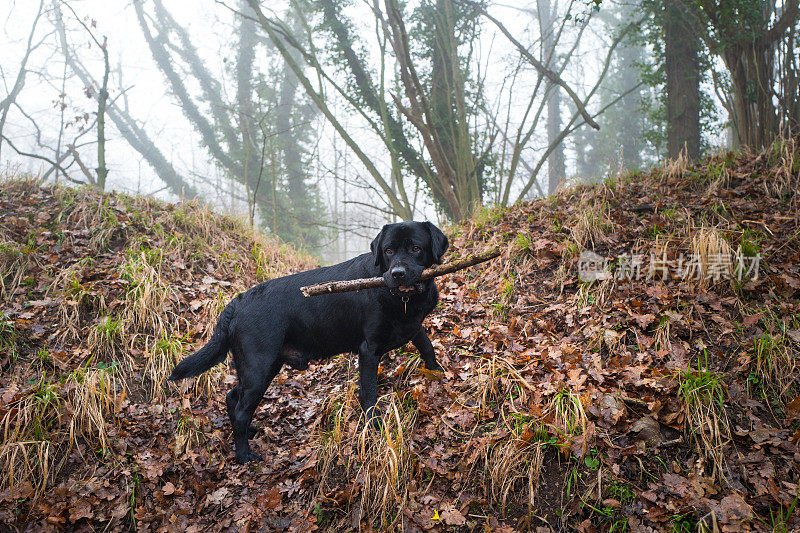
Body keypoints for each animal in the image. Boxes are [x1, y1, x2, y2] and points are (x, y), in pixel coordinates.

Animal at [168, 220, 446, 462]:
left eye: (416, 248)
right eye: (388, 250)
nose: (397, 274)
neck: (403, 301)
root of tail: (236, 302)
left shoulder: (413, 327)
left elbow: (427, 346)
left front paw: (437, 373)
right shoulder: (369, 350)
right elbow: (369, 392)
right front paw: (374, 426)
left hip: (263, 367)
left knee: (232, 396)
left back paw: (248, 433)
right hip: (258, 367)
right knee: (239, 411)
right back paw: (244, 455)